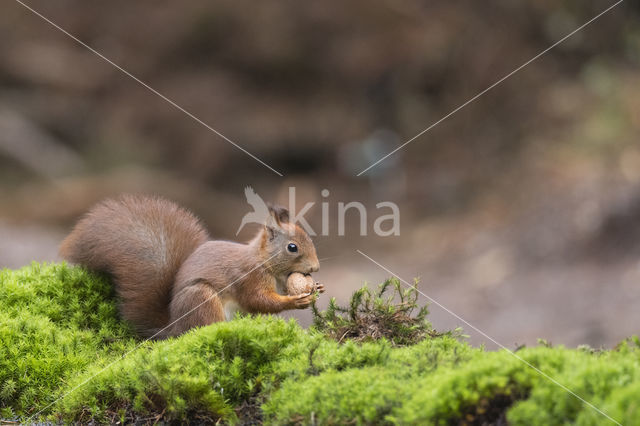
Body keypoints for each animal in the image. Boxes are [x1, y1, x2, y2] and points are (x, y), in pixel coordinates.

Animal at [58, 195, 322, 338]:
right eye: (292, 247)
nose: (315, 268)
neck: (265, 263)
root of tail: (173, 326)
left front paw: (317, 288)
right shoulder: (248, 278)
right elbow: (260, 300)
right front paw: (295, 300)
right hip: (201, 298)